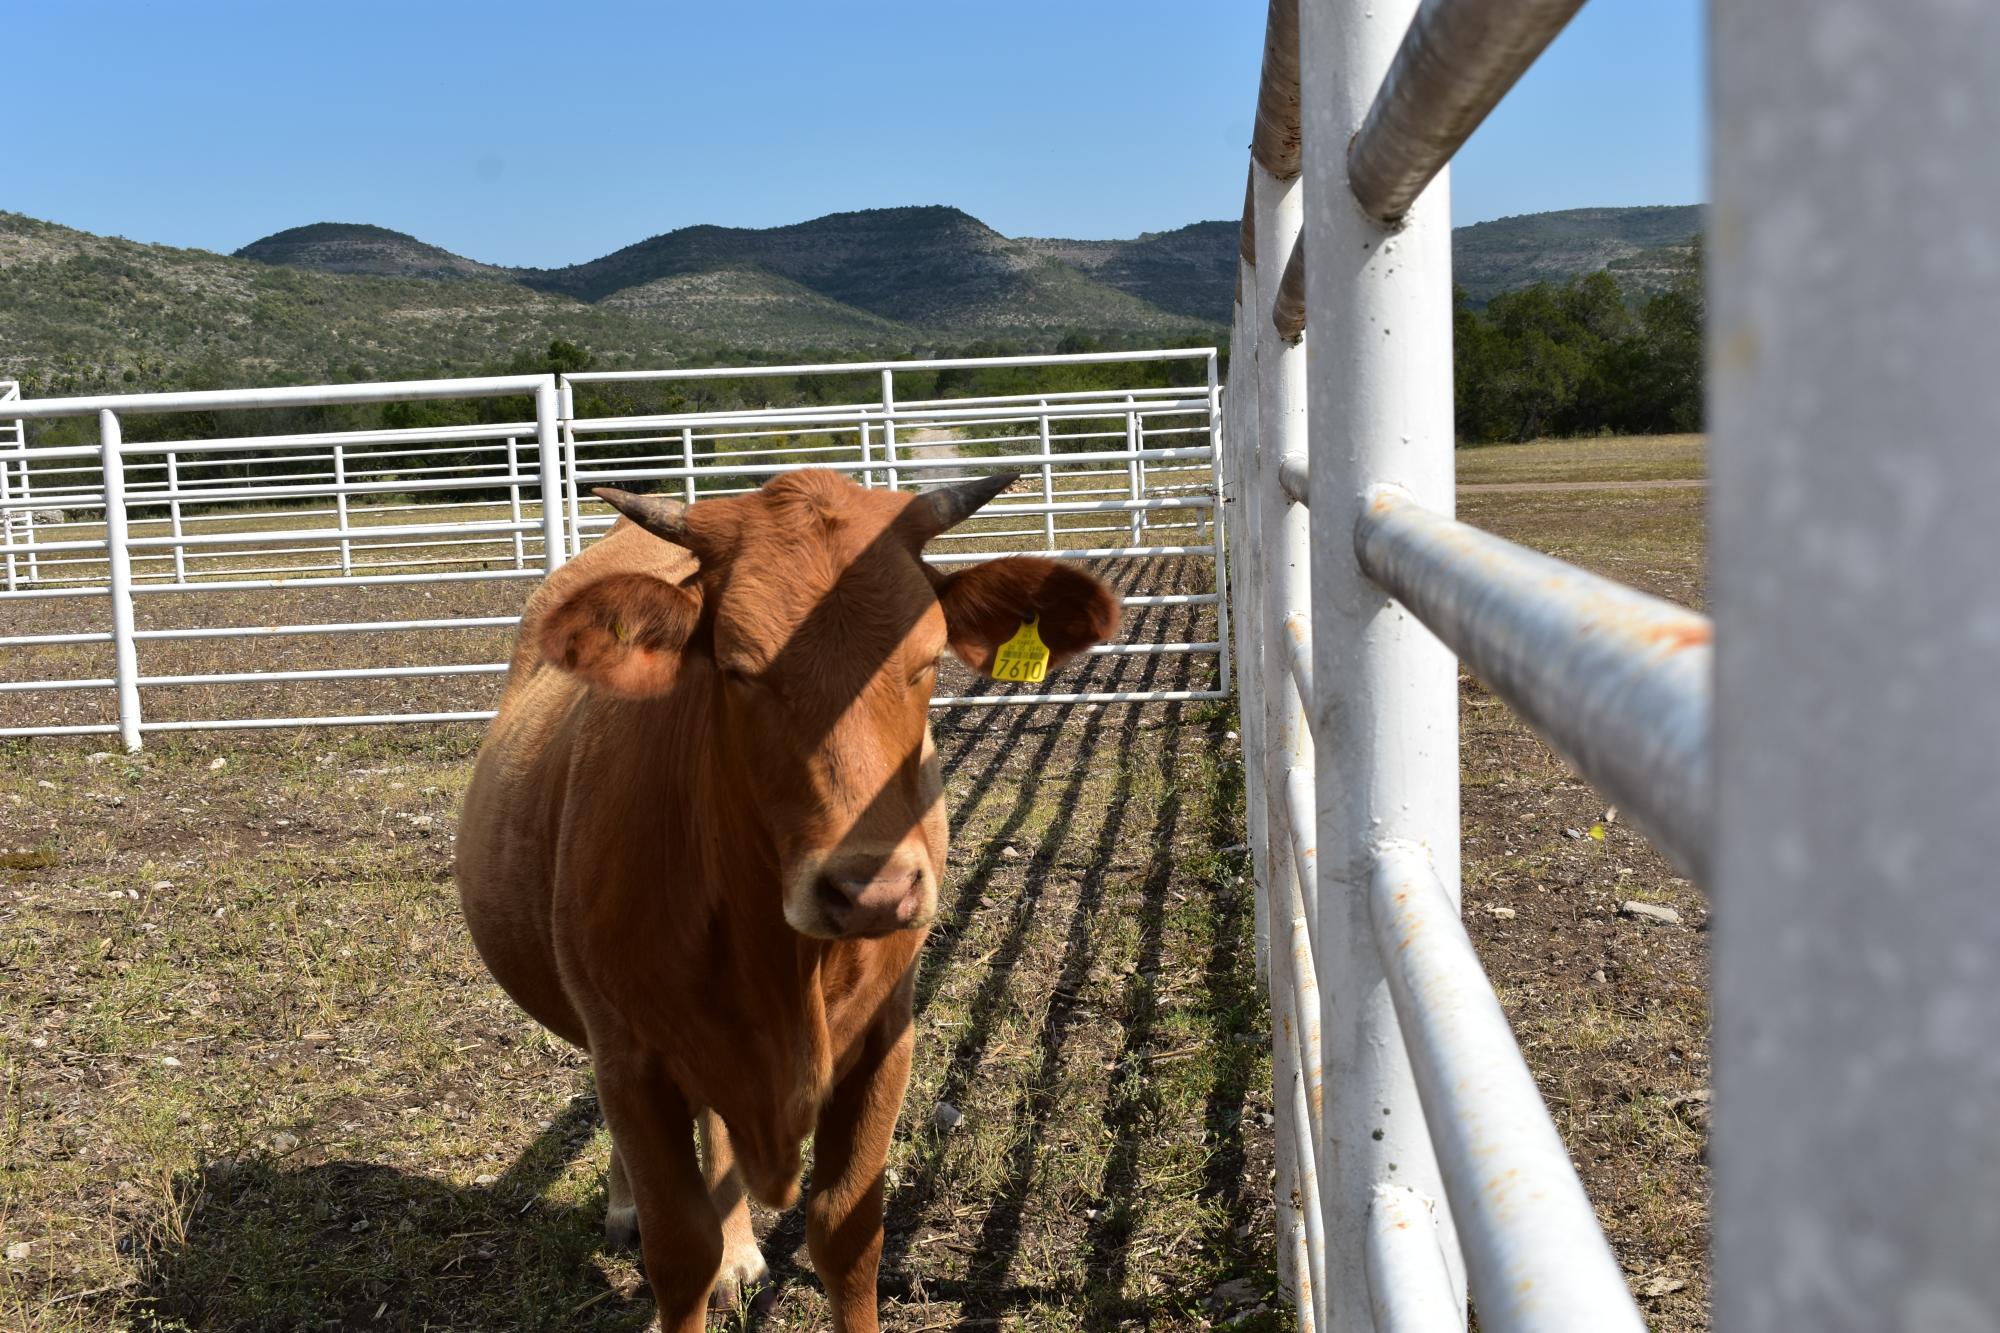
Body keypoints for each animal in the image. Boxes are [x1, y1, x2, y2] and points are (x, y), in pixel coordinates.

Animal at [456, 466, 1120, 1328]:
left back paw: (740, 1247)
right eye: (738, 668)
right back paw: (629, 1206)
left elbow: (847, 1231)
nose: (872, 891)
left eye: (926, 659)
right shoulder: (631, 1054)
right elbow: (679, 1247)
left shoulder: (884, 1036)